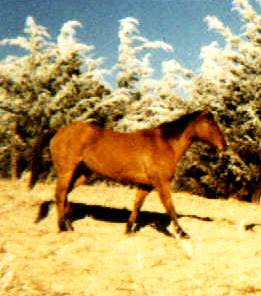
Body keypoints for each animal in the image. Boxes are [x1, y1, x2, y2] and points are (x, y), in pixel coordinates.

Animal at [30, 108, 225, 238]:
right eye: (210, 123)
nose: (224, 145)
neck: (165, 144)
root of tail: (59, 131)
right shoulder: (161, 183)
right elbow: (170, 206)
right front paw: (182, 232)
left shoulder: (145, 185)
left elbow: (137, 205)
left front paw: (128, 229)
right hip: (67, 171)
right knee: (60, 194)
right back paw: (61, 227)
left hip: (82, 174)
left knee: (64, 195)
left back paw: (69, 225)